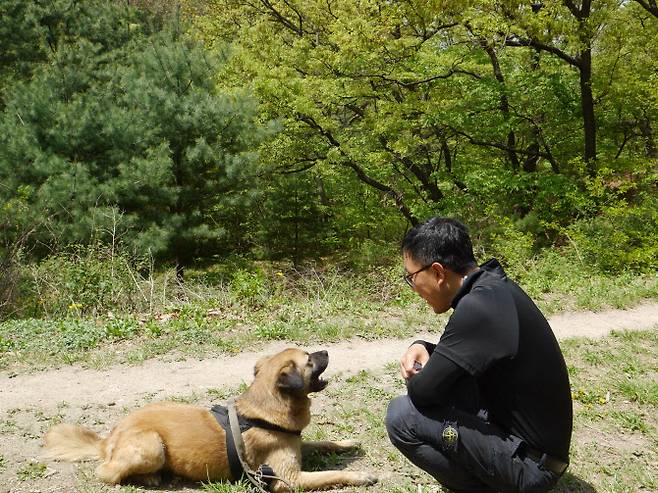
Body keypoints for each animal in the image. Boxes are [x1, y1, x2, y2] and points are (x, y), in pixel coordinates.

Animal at [43, 348, 376, 490]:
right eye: (309, 359)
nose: (326, 350)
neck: (262, 412)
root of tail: (109, 438)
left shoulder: (295, 444)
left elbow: (323, 441)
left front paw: (346, 442)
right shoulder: (287, 480)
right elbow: (332, 474)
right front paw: (360, 476)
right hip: (152, 446)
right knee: (106, 472)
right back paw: (148, 478)